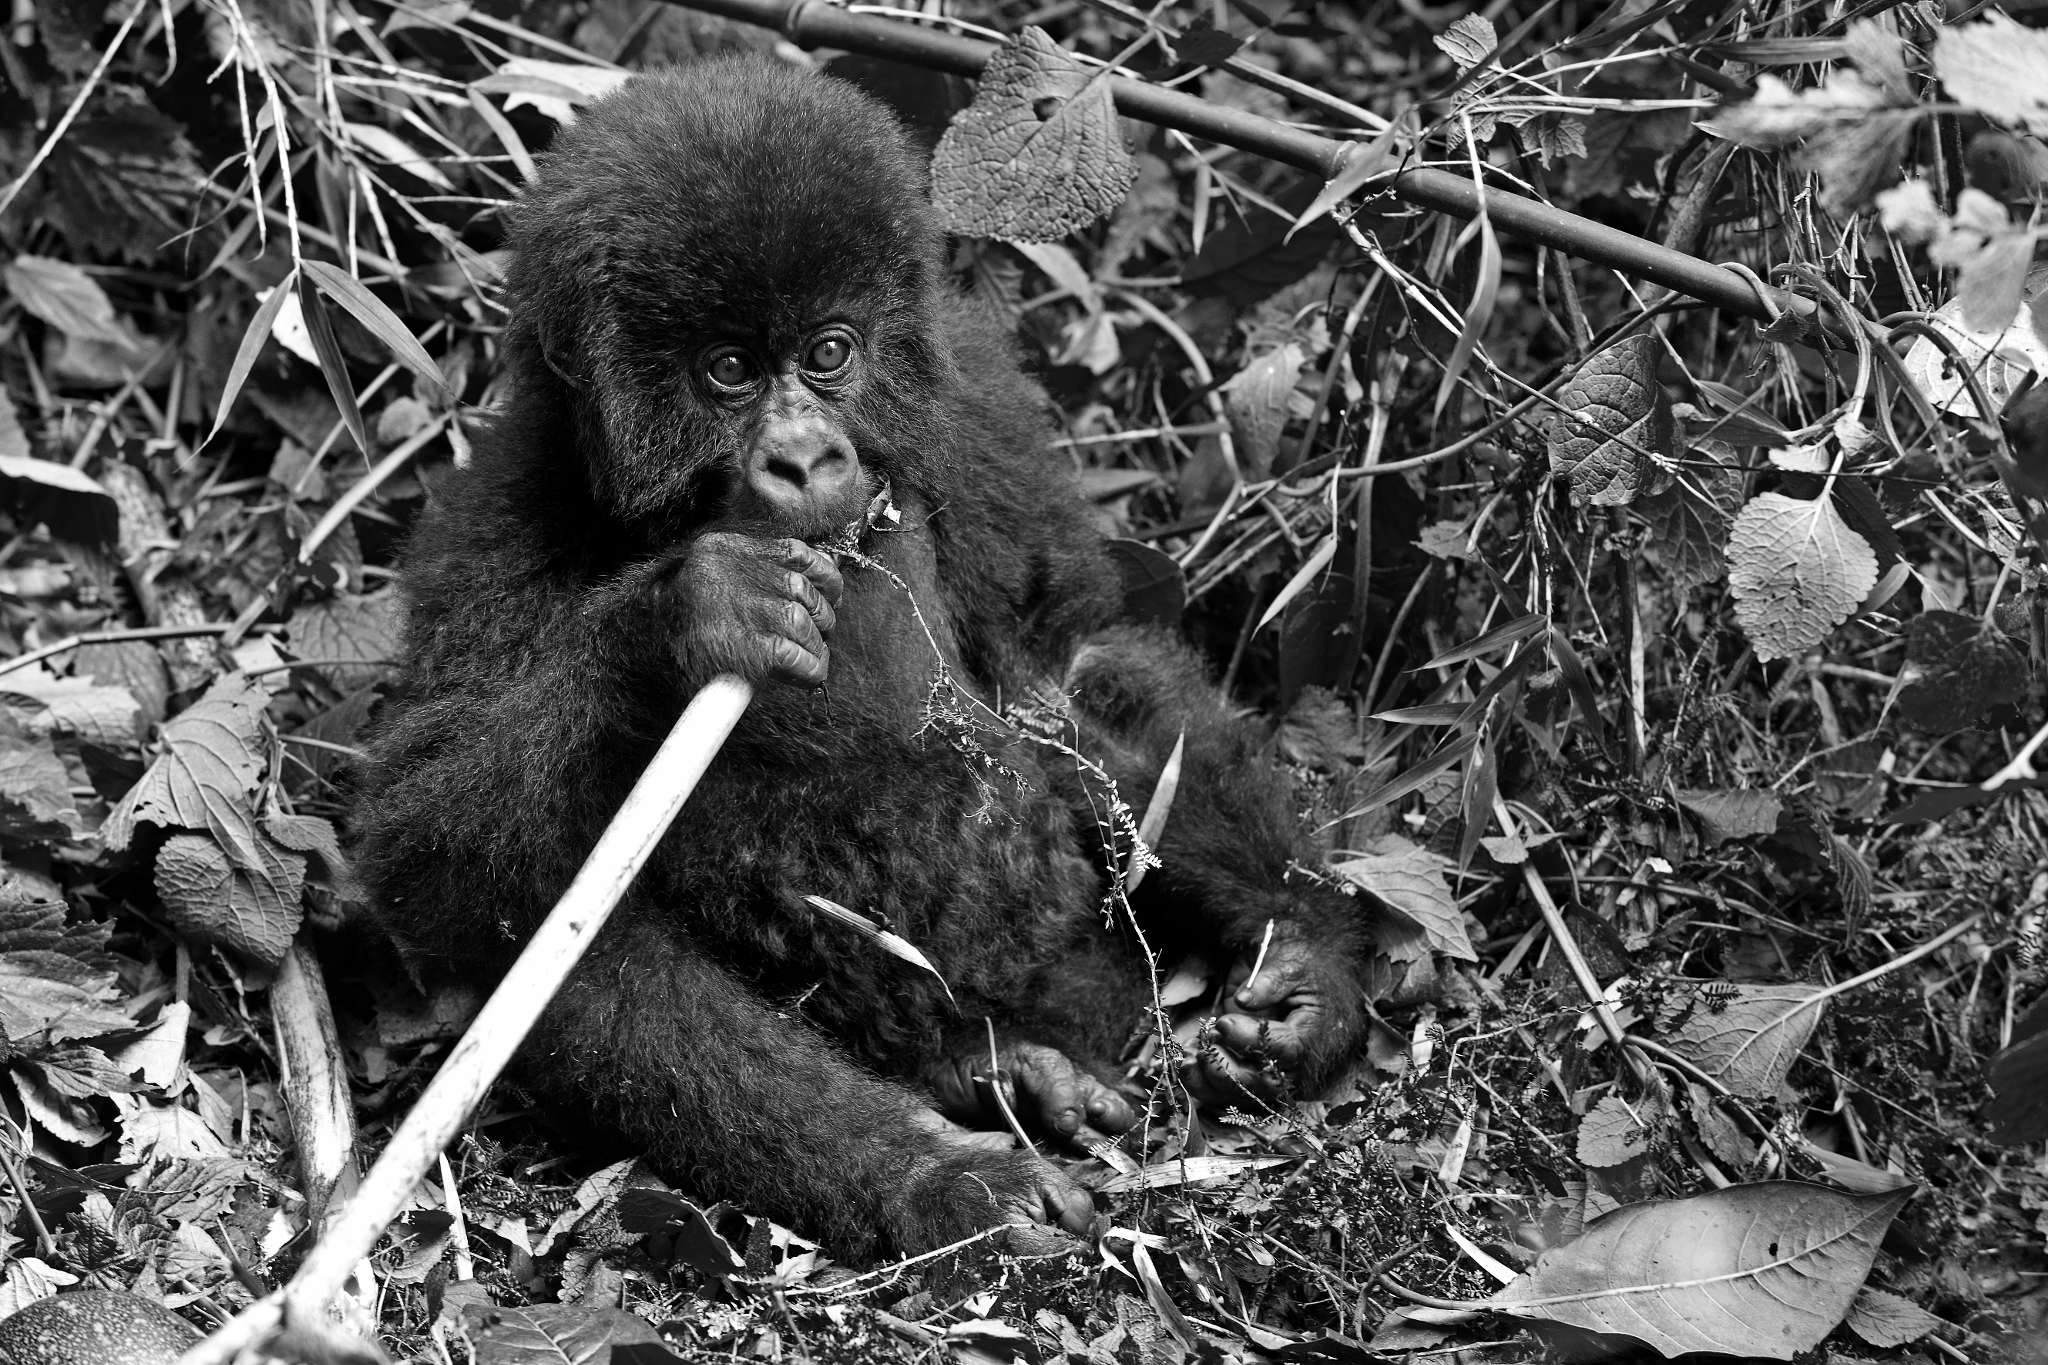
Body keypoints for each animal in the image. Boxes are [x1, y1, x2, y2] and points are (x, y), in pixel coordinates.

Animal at [350, 56, 1377, 1261]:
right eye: (729, 372)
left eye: (829, 353)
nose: (803, 459)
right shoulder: (507, 511)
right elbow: (448, 847)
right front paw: (684, 615)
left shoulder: (967, 406)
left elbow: (1069, 660)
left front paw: (1305, 962)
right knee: (571, 955)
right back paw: (958, 1136)